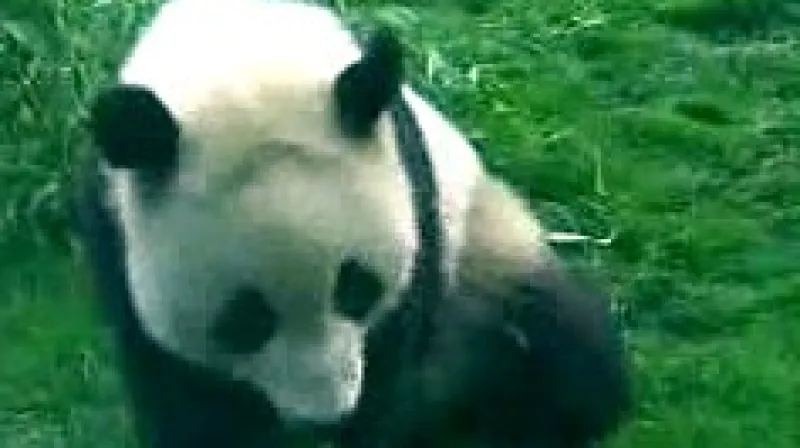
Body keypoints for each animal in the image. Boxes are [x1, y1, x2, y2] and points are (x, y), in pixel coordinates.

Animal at [73, 0, 632, 447]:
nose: (326, 417)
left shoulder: (412, 192)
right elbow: (181, 390)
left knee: (563, 349)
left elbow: (390, 363)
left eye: (356, 287)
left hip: (486, 250)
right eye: (245, 318)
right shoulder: (113, 229)